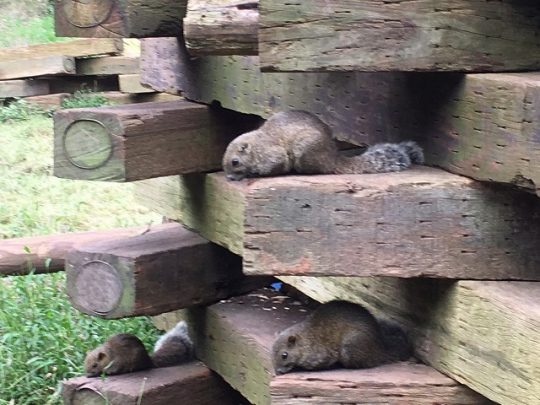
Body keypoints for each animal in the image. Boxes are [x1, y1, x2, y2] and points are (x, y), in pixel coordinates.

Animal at [222, 110, 424, 181]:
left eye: (235, 162)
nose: (229, 178)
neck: (256, 145)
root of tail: (333, 158)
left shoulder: (271, 155)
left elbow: (274, 165)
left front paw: (251, 174)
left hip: (305, 150)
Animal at [271, 301, 412, 375]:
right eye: (271, 353)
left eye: (284, 355)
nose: (277, 371)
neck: (305, 339)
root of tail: (380, 350)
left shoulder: (320, 354)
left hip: (350, 346)